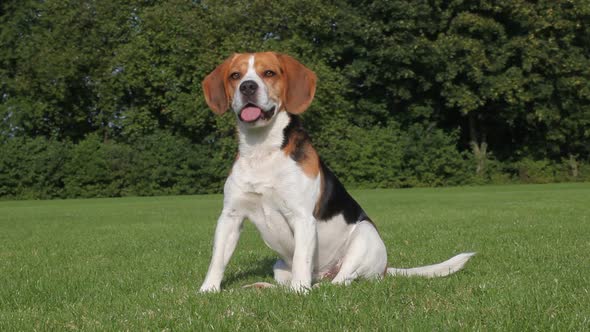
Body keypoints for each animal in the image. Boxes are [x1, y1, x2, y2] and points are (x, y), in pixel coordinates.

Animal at [199, 52, 476, 294]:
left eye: (269, 73)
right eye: (235, 75)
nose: (247, 87)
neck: (262, 150)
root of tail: (385, 269)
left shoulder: (302, 217)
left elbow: (301, 259)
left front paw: (300, 293)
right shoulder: (230, 216)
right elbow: (217, 259)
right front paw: (208, 291)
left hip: (364, 236)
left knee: (341, 281)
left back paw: (314, 287)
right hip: (279, 265)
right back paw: (263, 287)